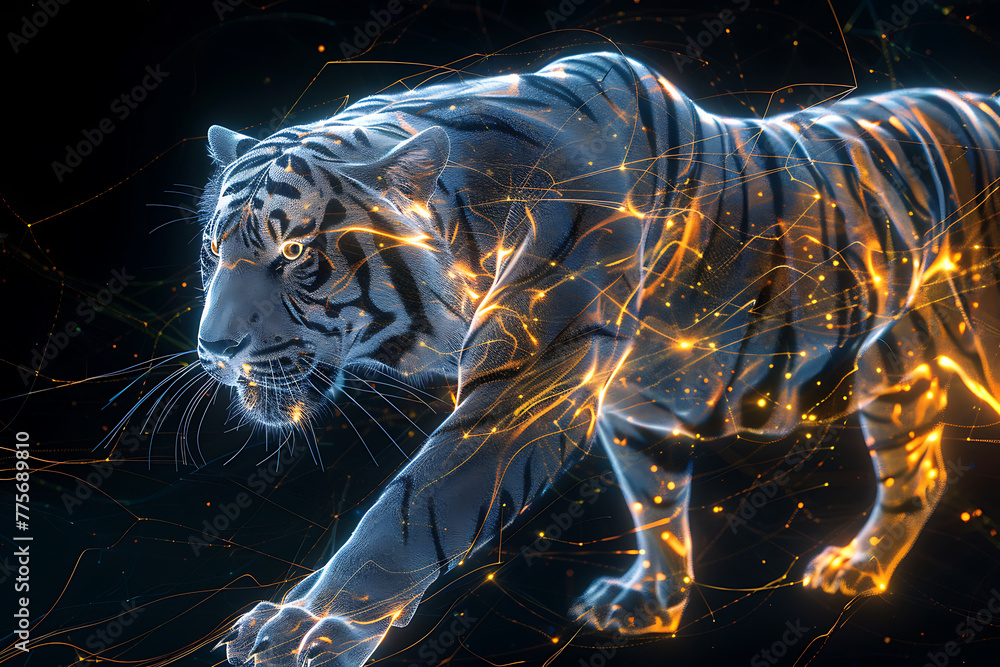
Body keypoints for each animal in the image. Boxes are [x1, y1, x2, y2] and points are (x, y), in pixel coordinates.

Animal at [199, 51, 1000, 666]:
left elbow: (405, 516)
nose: (213, 349)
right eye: (213, 248)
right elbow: (654, 500)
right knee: (917, 470)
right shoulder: (634, 404)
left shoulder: (523, 391)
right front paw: (649, 600)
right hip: (895, 365)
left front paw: (309, 633)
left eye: (293, 251)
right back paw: (858, 567)